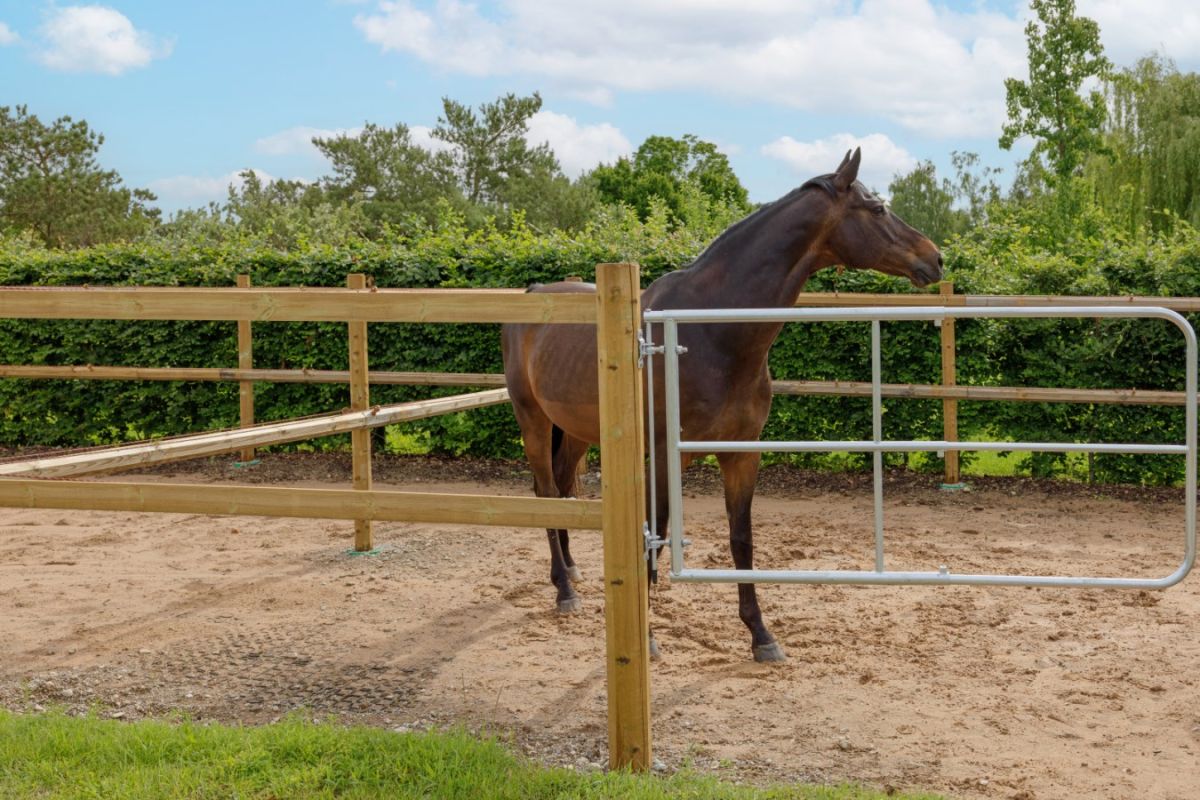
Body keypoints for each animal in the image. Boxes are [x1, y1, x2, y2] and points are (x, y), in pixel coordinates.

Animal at [501, 148, 942, 662]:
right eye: (877, 208)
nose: (936, 257)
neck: (711, 332)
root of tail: (532, 294)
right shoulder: (663, 457)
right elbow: (655, 536)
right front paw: (647, 637)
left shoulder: (741, 453)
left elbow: (741, 540)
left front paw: (761, 635)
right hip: (532, 420)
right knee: (546, 489)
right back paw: (563, 590)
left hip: (575, 431)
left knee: (565, 489)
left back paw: (572, 570)